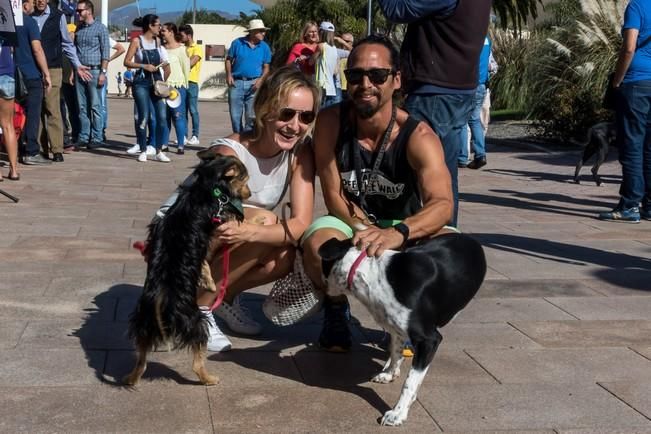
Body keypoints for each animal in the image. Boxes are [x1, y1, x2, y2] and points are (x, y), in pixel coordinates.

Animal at [123, 156, 251, 386]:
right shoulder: (213, 230)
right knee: (196, 362)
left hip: (143, 324)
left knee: (141, 360)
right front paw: (209, 283)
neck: (207, 187)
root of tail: (161, 300)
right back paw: (209, 378)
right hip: (196, 322)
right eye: (245, 180)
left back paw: (131, 378)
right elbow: (205, 263)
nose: (250, 194)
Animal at [318, 232, 486, 426]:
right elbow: (395, 351)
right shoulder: (396, 327)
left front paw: (398, 413)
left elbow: (410, 381)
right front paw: (390, 373)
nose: (320, 292)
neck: (374, 277)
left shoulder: (429, 340)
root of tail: (470, 238)